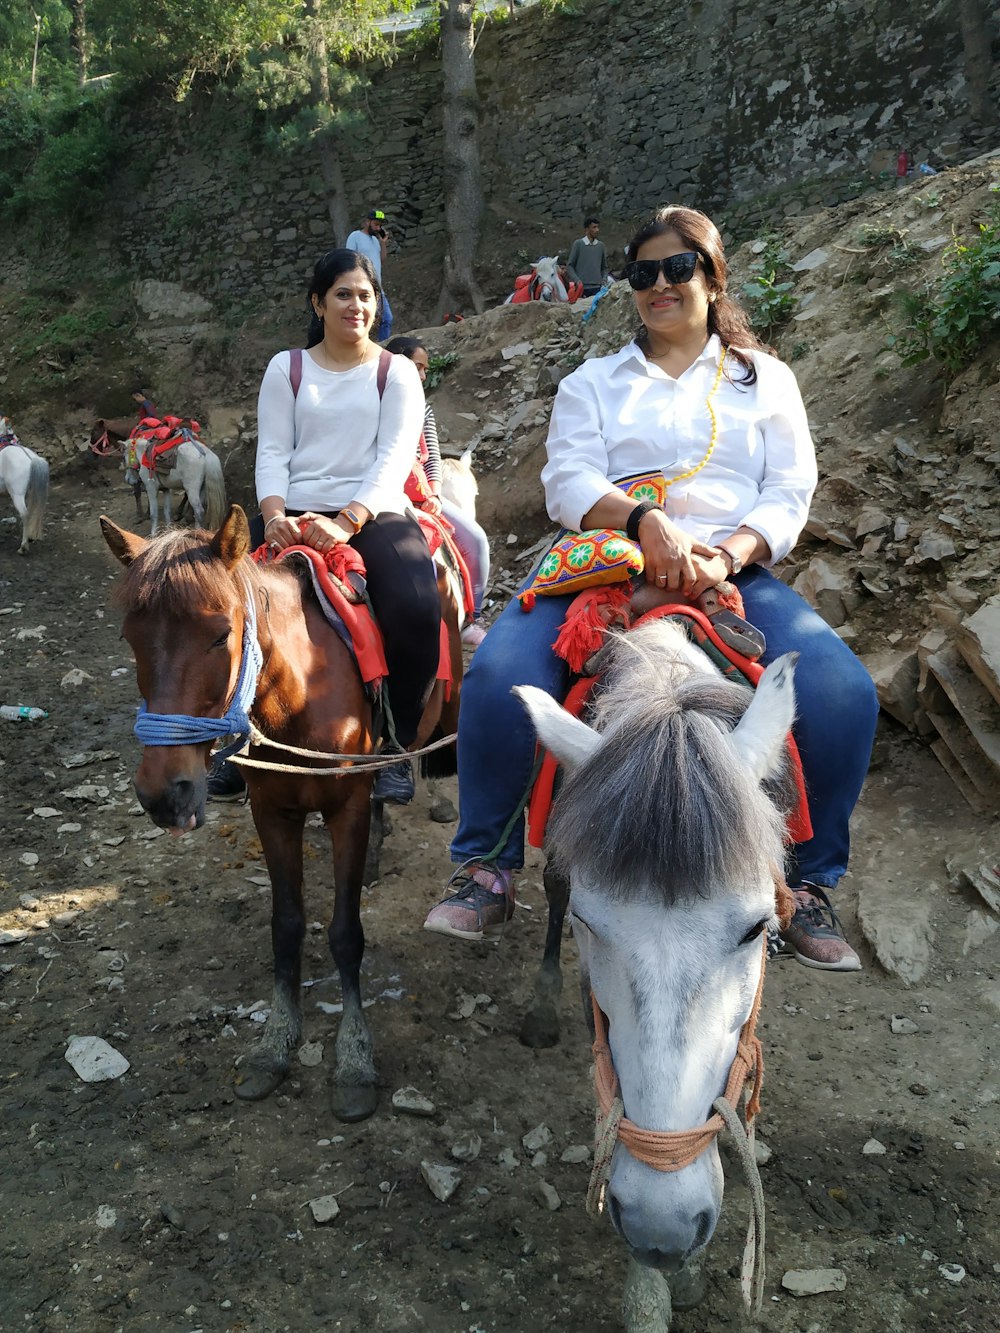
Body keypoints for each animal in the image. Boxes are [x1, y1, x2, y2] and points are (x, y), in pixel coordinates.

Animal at [102, 503, 461, 1119]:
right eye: (130, 638)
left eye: (221, 634)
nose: (163, 794)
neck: (301, 691)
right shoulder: (272, 813)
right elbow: (287, 926)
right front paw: (275, 1043)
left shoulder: (346, 811)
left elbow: (345, 933)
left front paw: (355, 1057)